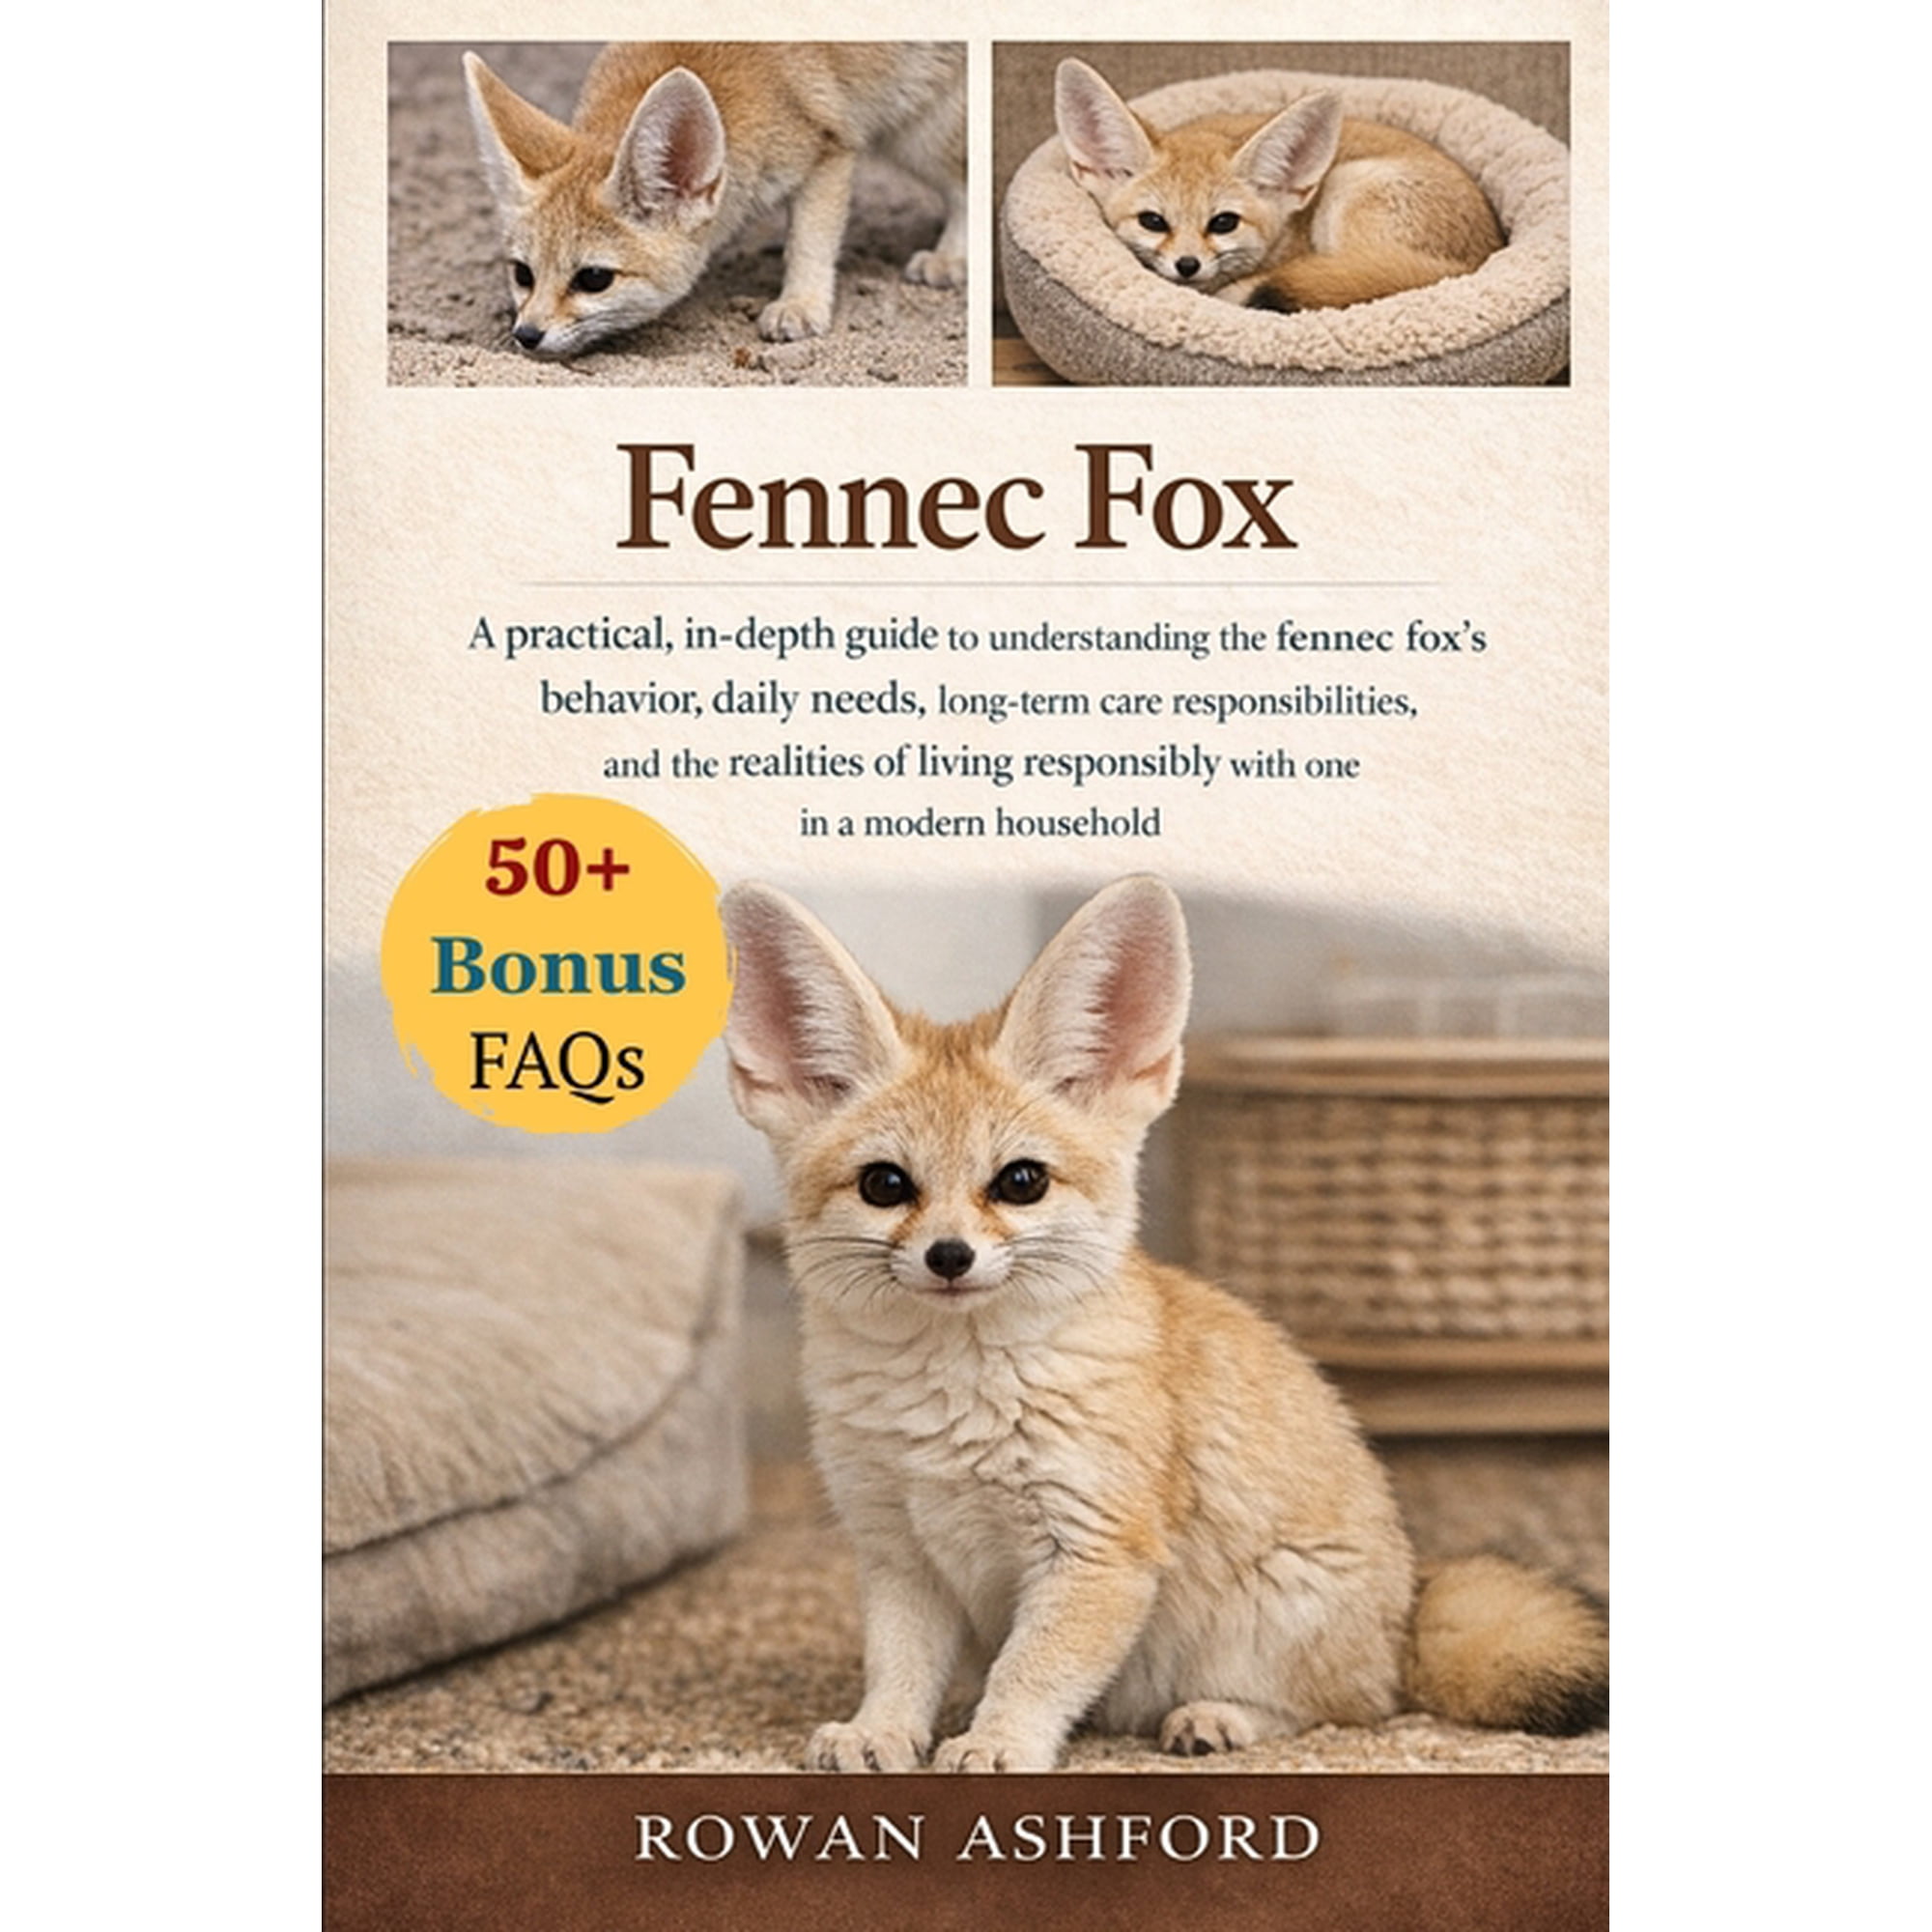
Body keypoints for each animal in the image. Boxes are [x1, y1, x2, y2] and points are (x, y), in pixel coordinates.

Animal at [462, 43, 967, 357]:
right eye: (522, 274)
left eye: (594, 279)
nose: (526, 335)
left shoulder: (828, 150)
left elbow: (809, 241)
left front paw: (801, 305)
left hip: (920, 135)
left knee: (964, 185)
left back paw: (950, 257)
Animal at [719, 875, 1608, 1773]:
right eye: (886, 1185)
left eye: (1021, 1182)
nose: (949, 1256)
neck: (948, 1405)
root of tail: (1411, 1612)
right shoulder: (898, 1552)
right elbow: (899, 1666)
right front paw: (881, 1731)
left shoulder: (1097, 1548)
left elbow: (1031, 1668)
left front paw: (997, 1743)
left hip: (1273, 1615)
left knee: (1347, 1709)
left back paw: (1218, 1718)